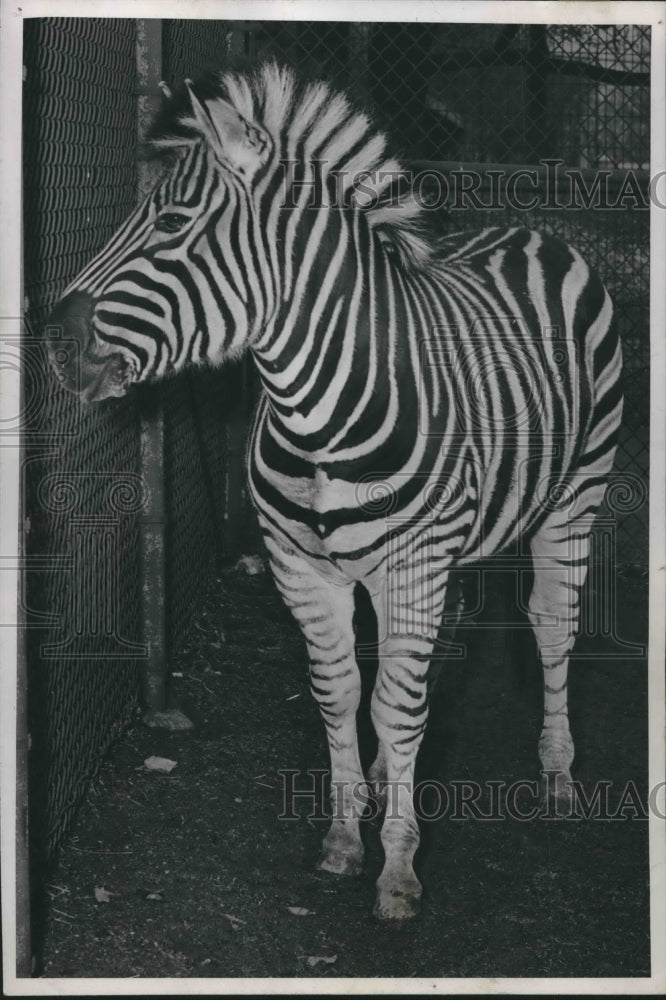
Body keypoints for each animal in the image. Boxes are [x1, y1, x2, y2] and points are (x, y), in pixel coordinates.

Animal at [48, 62, 624, 920]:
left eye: (174, 221)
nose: (51, 337)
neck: (317, 417)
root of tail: (530, 228)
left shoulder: (412, 565)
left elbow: (395, 702)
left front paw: (398, 866)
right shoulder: (304, 570)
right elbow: (343, 693)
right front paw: (349, 835)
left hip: (574, 495)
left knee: (552, 626)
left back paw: (556, 773)